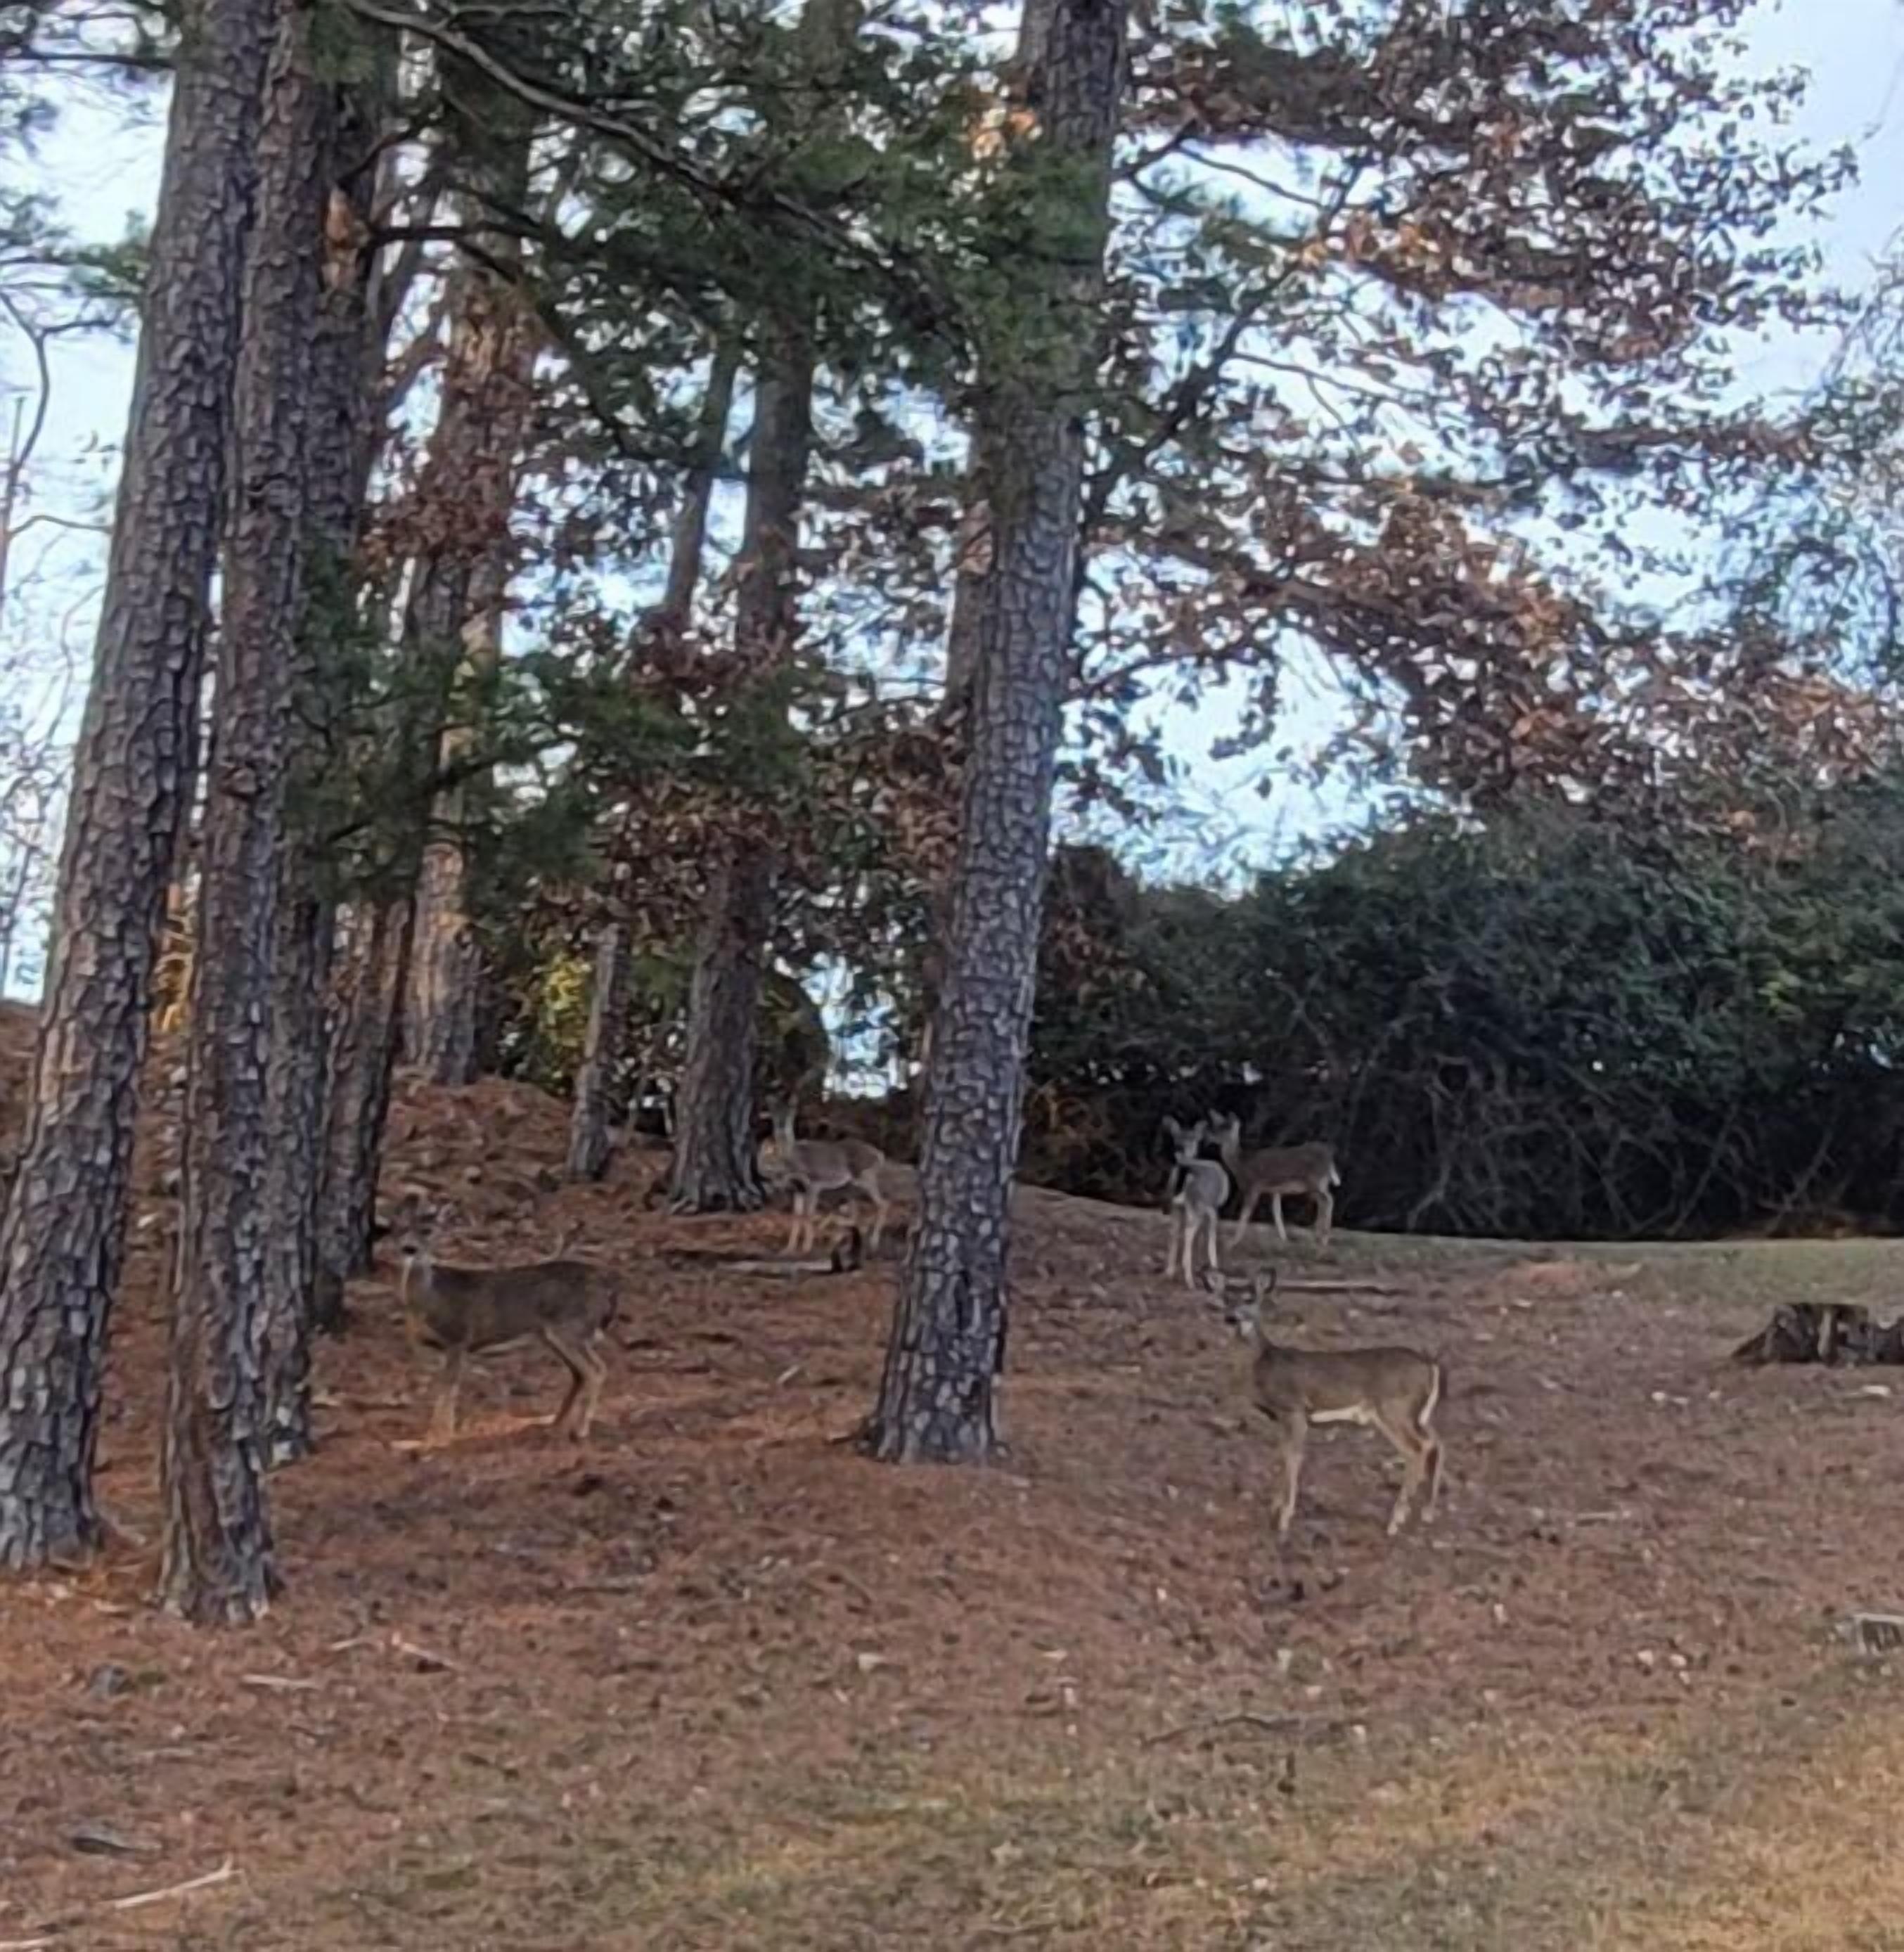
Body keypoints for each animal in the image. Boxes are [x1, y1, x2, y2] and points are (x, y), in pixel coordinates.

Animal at [391, 1198, 620, 1445]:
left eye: (428, 1230)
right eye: (400, 1229)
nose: (409, 1248)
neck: (430, 1300)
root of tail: (608, 1287)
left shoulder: (459, 1337)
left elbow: (449, 1388)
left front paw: (438, 1439)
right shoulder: (437, 1349)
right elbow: (442, 1388)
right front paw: (431, 1435)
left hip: (571, 1327)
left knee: (597, 1370)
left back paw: (581, 1430)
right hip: (553, 1335)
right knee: (579, 1374)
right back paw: (553, 1424)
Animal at [763, 1101, 890, 1256]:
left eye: (790, 1113)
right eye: (773, 1112)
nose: (781, 1127)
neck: (794, 1160)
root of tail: (880, 1155)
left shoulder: (814, 1183)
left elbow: (808, 1215)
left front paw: (806, 1248)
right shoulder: (797, 1189)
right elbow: (797, 1216)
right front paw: (788, 1249)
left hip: (865, 1176)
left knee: (882, 1204)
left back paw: (872, 1244)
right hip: (851, 1187)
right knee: (856, 1212)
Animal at [1161, 1115, 1230, 1290]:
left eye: (1192, 1138)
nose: (1179, 1147)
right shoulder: (1213, 1208)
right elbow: (1210, 1237)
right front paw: (1213, 1268)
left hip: (1175, 1205)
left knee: (1174, 1231)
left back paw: (1169, 1272)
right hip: (1198, 1205)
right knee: (1189, 1233)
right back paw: (1190, 1280)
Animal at [1207, 1111, 1340, 1250]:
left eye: (1226, 1128)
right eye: (1217, 1126)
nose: (1209, 1136)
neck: (1241, 1165)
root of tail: (1330, 1158)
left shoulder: (1253, 1186)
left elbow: (1244, 1215)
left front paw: (1231, 1243)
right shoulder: (1275, 1190)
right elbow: (1277, 1213)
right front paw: (1284, 1239)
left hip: (1314, 1180)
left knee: (1328, 1200)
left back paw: (1324, 1239)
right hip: (1320, 1183)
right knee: (1324, 1201)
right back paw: (1319, 1236)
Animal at [1221, 1269, 1444, 1541]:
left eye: (1250, 1299)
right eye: (1225, 1299)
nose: (1231, 1318)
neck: (1264, 1363)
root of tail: (1430, 1365)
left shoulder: (1294, 1409)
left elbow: (1293, 1457)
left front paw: (1283, 1519)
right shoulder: (1281, 1417)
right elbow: (1282, 1454)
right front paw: (1275, 1508)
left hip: (1394, 1409)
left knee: (1417, 1449)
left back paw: (1395, 1521)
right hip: (1418, 1414)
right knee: (1437, 1442)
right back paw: (1427, 1512)